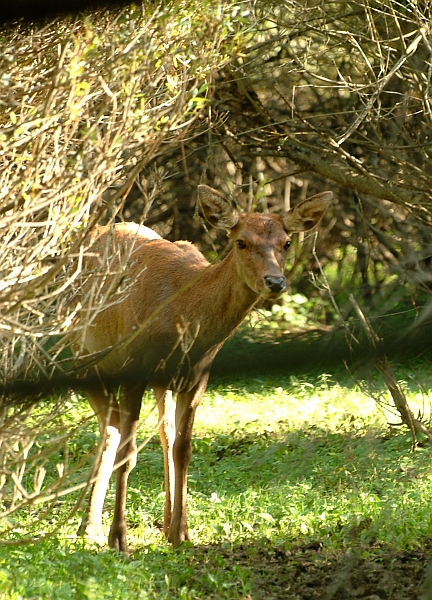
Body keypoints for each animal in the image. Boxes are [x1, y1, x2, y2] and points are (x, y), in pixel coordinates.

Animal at [74, 183, 332, 552]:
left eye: (286, 242)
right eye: (241, 241)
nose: (275, 282)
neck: (183, 314)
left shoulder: (198, 379)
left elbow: (183, 449)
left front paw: (181, 534)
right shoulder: (134, 369)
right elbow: (129, 450)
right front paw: (119, 538)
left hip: (162, 382)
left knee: (162, 433)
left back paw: (160, 520)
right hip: (83, 356)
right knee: (110, 430)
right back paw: (90, 527)